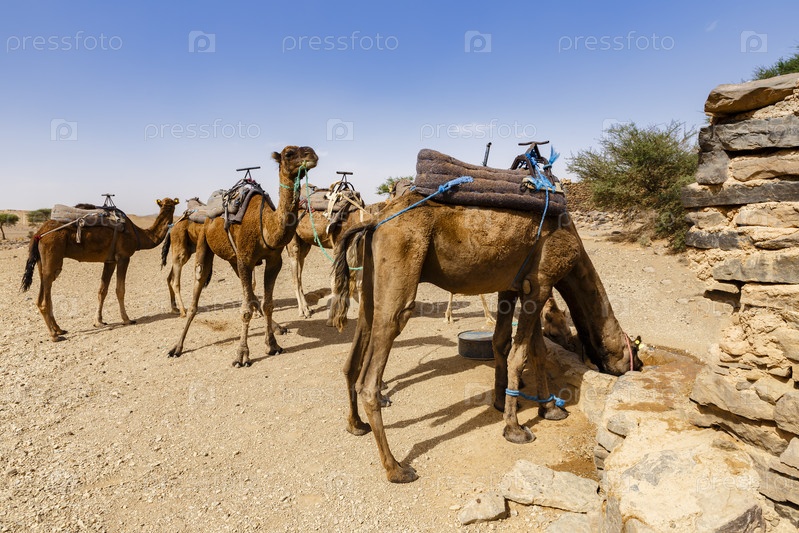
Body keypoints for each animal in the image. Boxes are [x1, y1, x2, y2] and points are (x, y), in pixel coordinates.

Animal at [21, 197, 179, 341]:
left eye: (171, 205)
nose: (169, 209)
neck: (138, 234)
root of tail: (38, 234)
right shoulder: (123, 257)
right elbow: (120, 290)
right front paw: (127, 319)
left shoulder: (110, 261)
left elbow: (102, 290)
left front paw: (99, 321)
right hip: (52, 255)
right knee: (44, 298)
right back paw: (54, 335)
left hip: (42, 262)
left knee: (45, 292)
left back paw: (59, 329)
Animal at [167, 145, 318, 367]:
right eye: (289, 153)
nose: (312, 155)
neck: (266, 225)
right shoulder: (246, 259)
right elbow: (246, 310)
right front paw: (241, 355)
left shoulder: (273, 261)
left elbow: (268, 304)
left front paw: (272, 345)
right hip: (205, 243)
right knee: (197, 290)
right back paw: (177, 347)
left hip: (233, 258)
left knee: (252, 295)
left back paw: (278, 327)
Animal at [330, 194, 642, 483]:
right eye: (635, 352)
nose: (638, 366)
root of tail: (374, 221)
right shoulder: (542, 282)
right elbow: (520, 354)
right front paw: (515, 428)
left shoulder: (516, 286)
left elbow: (516, 346)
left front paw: (537, 407)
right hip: (401, 260)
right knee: (374, 367)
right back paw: (397, 469)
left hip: (371, 278)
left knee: (358, 343)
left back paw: (355, 424)